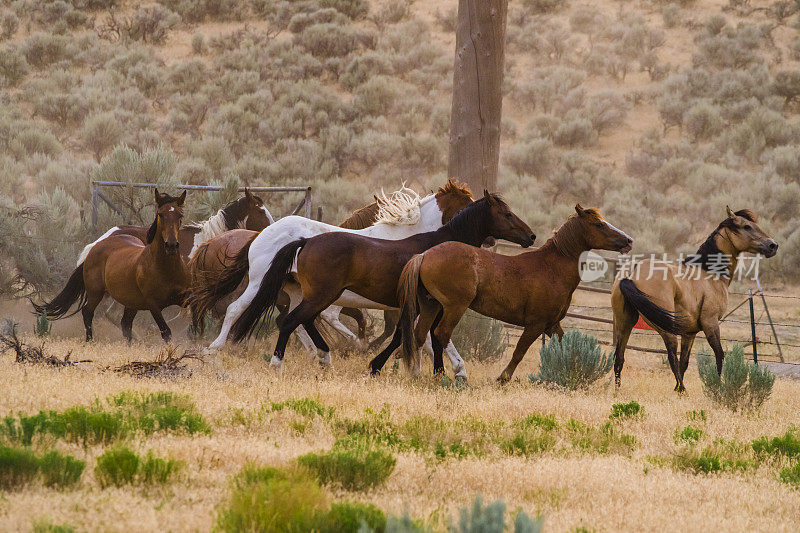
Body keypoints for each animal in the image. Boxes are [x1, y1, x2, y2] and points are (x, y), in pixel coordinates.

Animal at [33, 189, 193, 342]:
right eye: (160, 214)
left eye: (180, 215)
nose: (171, 245)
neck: (165, 269)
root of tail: (96, 245)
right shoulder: (153, 304)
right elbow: (166, 332)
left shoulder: (186, 298)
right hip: (96, 292)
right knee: (88, 312)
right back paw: (90, 341)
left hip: (130, 301)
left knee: (125, 323)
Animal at [228, 189, 536, 372]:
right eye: (506, 213)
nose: (531, 236)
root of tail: (304, 241)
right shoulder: (424, 304)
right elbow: (422, 335)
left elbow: (413, 335)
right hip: (308, 293)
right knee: (277, 319)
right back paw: (269, 361)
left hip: (309, 294)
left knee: (299, 321)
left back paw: (324, 356)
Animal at [392, 204, 632, 382]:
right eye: (599, 224)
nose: (628, 241)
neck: (551, 268)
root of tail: (424, 255)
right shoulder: (535, 324)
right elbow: (519, 352)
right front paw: (503, 378)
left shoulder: (552, 325)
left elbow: (564, 346)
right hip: (454, 307)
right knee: (440, 334)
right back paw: (454, 374)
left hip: (430, 305)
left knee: (419, 335)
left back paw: (414, 372)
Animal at [612, 207, 776, 390]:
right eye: (747, 226)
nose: (773, 245)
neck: (710, 272)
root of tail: (632, 272)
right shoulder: (710, 323)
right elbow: (719, 355)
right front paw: (717, 387)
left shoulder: (689, 333)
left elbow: (684, 362)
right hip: (665, 328)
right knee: (671, 357)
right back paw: (683, 390)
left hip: (625, 324)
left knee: (619, 358)